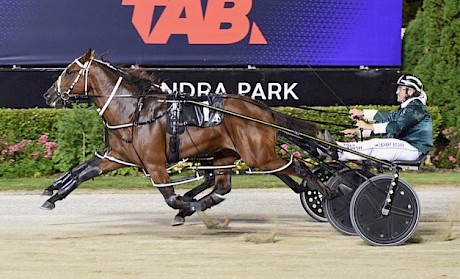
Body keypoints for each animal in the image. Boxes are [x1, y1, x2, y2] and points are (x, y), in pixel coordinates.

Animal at [41, 49, 344, 226]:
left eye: (70, 71)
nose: (48, 95)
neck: (135, 111)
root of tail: (263, 109)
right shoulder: (117, 157)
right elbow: (83, 172)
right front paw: (52, 194)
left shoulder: (155, 164)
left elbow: (171, 197)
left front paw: (186, 206)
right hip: (225, 154)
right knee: (222, 186)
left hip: (259, 155)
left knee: (299, 166)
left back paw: (330, 192)